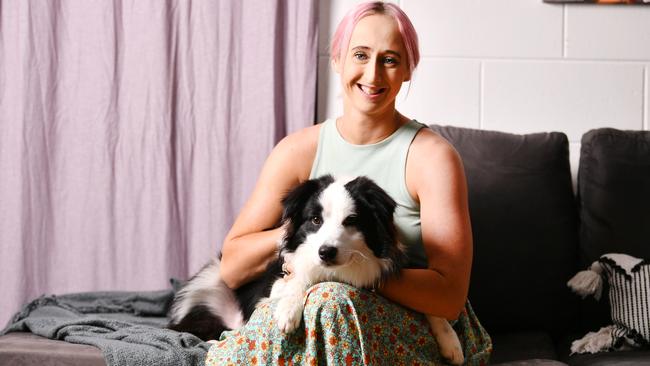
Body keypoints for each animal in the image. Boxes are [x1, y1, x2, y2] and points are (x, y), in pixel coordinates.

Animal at [167, 174, 460, 364]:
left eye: (351, 221)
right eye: (315, 220)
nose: (325, 252)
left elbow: (433, 305)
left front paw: (451, 342)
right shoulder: (277, 281)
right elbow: (300, 277)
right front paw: (288, 310)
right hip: (208, 284)